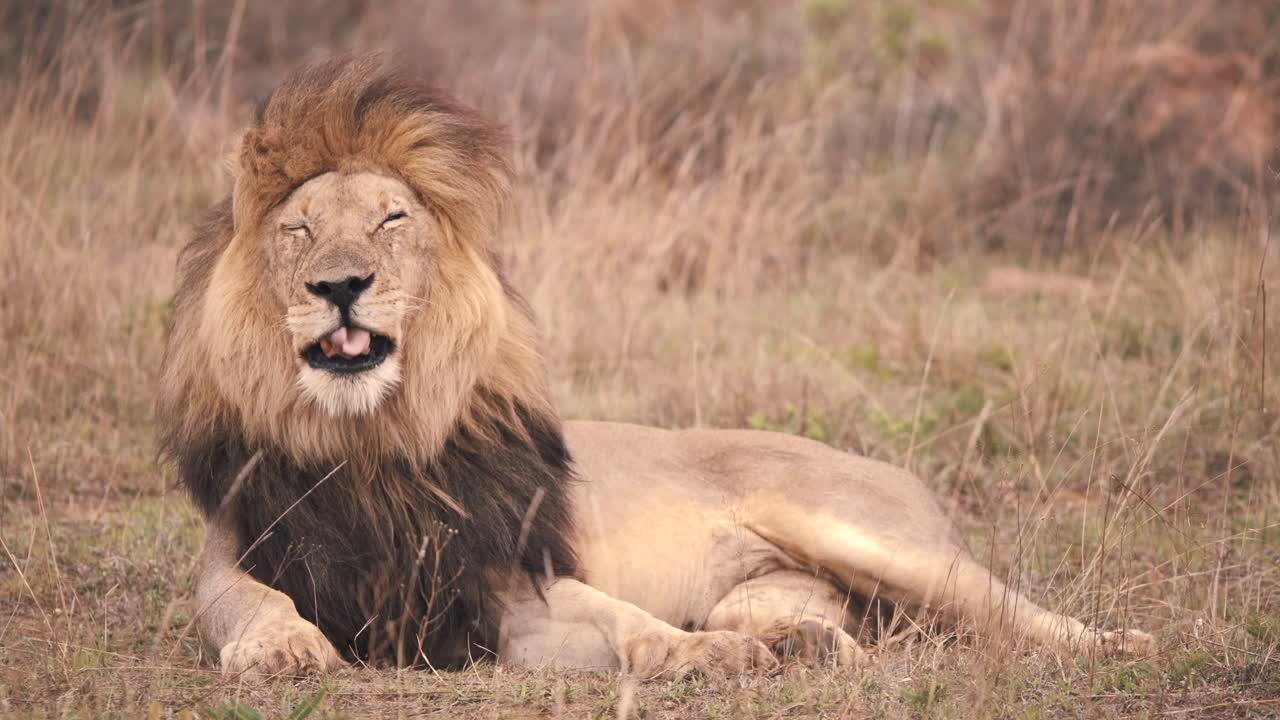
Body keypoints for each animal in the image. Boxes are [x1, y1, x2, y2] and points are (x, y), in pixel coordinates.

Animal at [157, 54, 1151, 680]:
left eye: (391, 219)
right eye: (299, 228)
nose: (340, 285)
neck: (370, 439)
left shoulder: (511, 584)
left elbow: (622, 619)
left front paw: (700, 659)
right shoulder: (239, 558)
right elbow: (249, 606)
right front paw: (279, 649)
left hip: (872, 537)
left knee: (1010, 610)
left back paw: (1123, 645)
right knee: (826, 618)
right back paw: (799, 647)